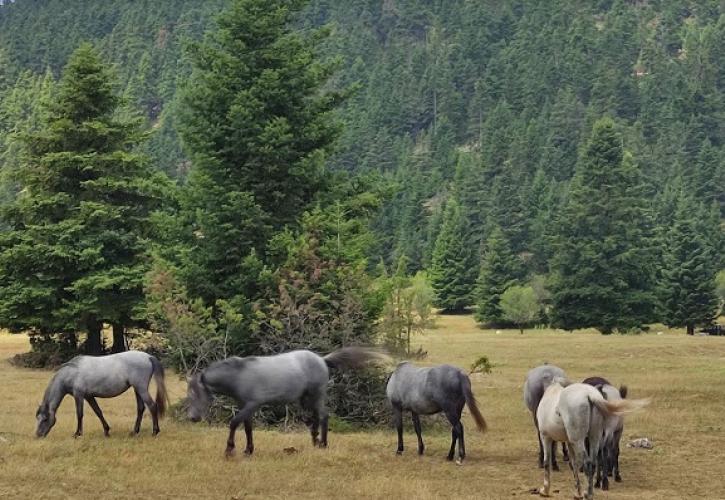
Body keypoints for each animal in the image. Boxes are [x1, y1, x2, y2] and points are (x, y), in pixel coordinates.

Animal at [36, 352, 168, 438]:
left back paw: (155, 431)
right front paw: (106, 431)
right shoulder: (89, 396)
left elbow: (79, 414)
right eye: (37, 418)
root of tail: (148, 357)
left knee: (152, 406)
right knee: (141, 408)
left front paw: (77, 434)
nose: (38, 435)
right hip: (137, 389)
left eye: (45, 419)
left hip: (141, 388)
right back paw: (134, 432)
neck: (71, 372)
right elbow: (98, 412)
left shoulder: (79, 395)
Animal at [185, 348, 378, 458]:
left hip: (316, 396)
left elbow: (234, 423)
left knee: (323, 416)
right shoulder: (244, 406)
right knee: (314, 418)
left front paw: (229, 450)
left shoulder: (251, 405)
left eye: (195, 394)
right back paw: (315, 442)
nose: (192, 418)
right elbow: (247, 428)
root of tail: (322, 360)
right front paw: (248, 450)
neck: (239, 375)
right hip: (305, 399)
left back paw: (323, 444)